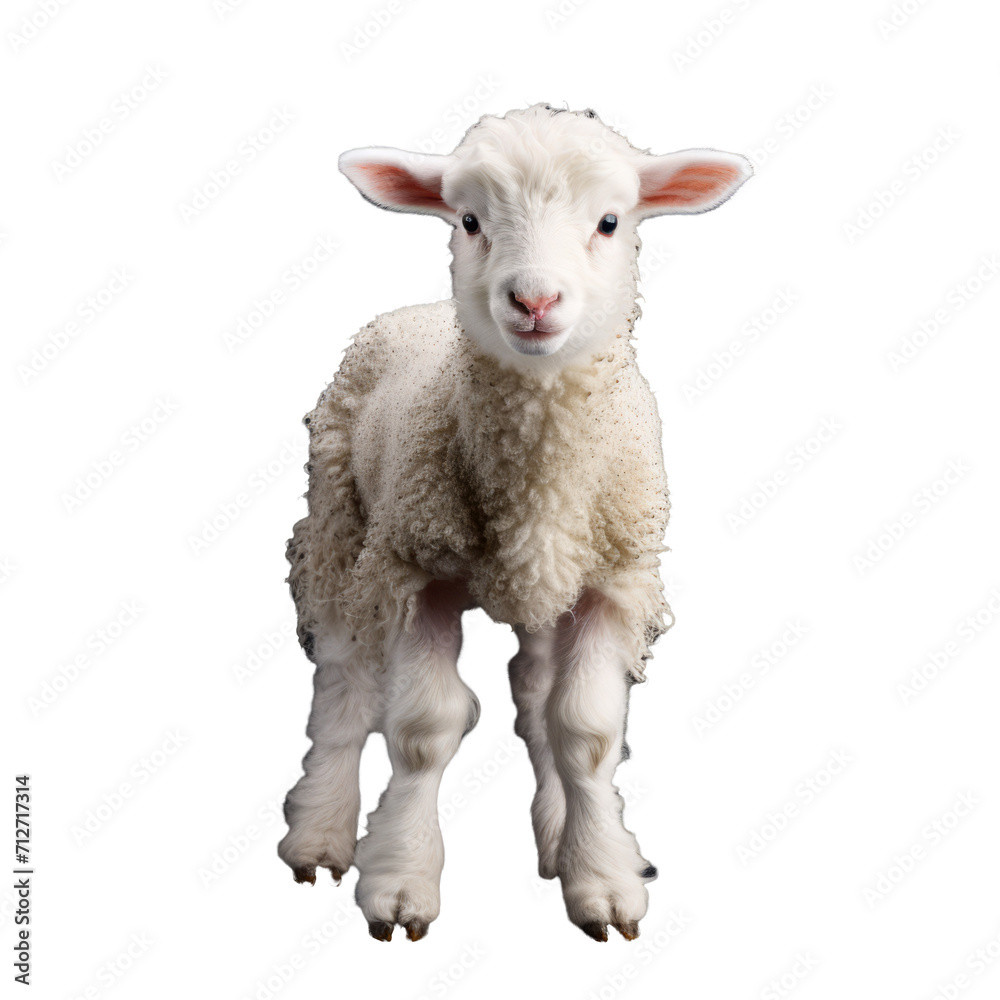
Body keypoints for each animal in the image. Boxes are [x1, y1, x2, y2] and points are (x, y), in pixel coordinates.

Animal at [279, 104, 751, 942]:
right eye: (469, 220)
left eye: (609, 221)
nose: (533, 302)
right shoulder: (416, 569)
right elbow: (423, 729)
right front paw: (399, 883)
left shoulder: (613, 579)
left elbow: (585, 733)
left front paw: (602, 880)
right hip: (341, 522)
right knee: (342, 680)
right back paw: (320, 834)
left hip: (539, 583)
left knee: (535, 701)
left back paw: (559, 837)